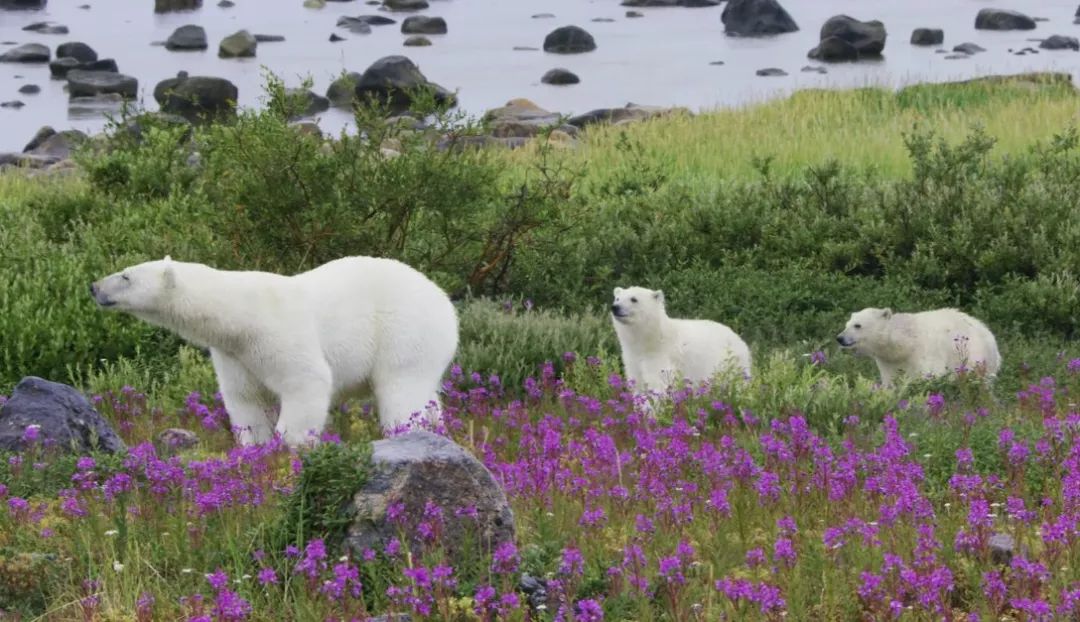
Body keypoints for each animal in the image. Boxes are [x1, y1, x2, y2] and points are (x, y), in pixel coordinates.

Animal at [92, 254, 460, 444]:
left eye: (126, 276)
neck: (239, 316)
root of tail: (444, 301)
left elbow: (306, 382)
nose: (94, 287)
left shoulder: (276, 333)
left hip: (404, 332)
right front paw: (255, 449)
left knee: (402, 391)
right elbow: (246, 400)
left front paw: (289, 446)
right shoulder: (235, 354)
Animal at [609, 285, 751, 395]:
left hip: (731, 363)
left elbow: (659, 384)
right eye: (617, 298)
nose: (615, 307)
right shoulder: (632, 358)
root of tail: (738, 337)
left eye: (634, 299)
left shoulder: (660, 356)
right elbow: (636, 381)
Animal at [833, 306, 1002, 388]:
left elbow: (930, 376)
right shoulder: (888, 361)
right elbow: (890, 380)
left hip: (975, 356)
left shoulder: (925, 352)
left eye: (857, 325)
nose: (840, 338)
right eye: (847, 324)